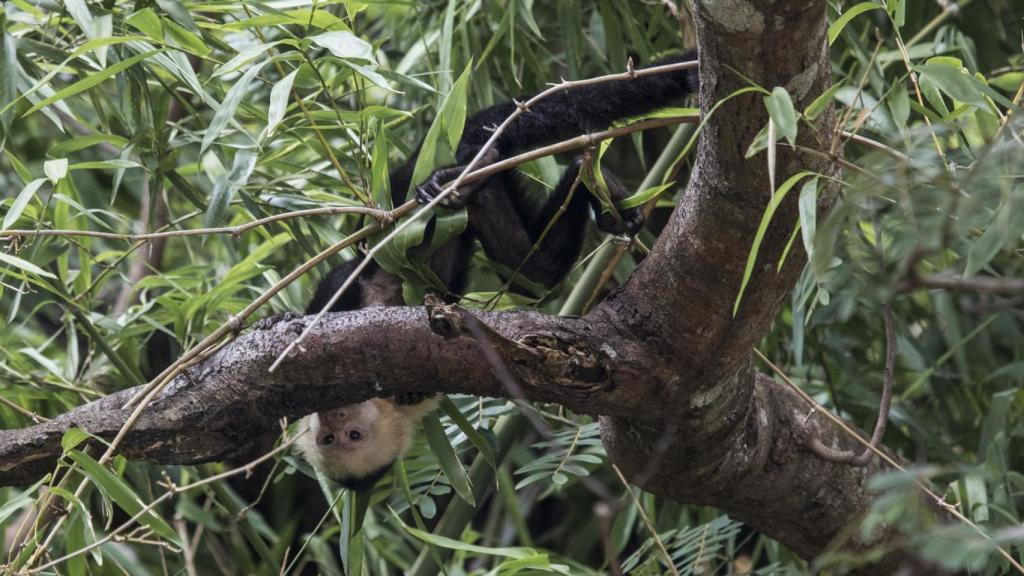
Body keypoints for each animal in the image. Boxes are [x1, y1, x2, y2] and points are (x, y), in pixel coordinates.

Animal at [289, 51, 698, 489]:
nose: (334, 419)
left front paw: (285, 322)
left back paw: (457, 181)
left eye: (351, 435)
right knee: (530, 271)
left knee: (414, 221)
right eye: (330, 439)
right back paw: (579, 178)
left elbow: (338, 285)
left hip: (402, 188)